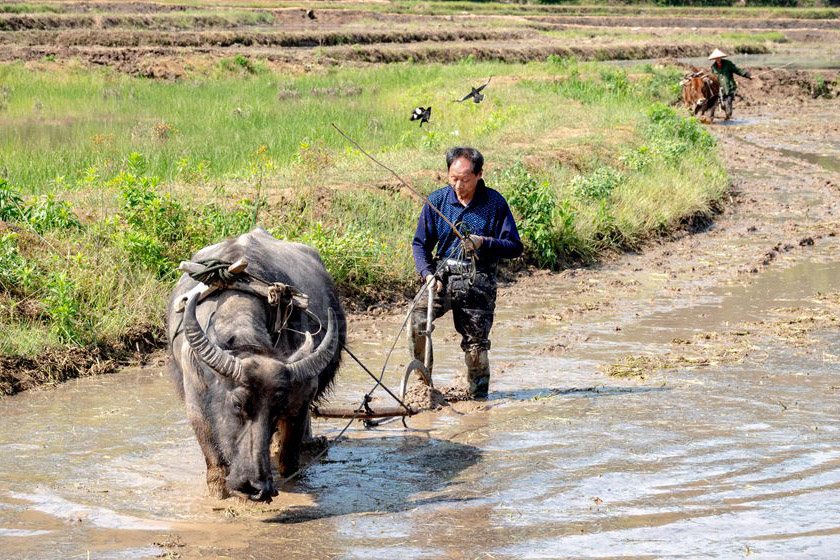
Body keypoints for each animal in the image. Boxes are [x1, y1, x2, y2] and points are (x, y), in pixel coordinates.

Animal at [167, 230, 344, 500]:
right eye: (237, 404)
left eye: (278, 409)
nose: (256, 486)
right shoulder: (196, 402)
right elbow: (215, 465)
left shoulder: (302, 398)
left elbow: (289, 458)